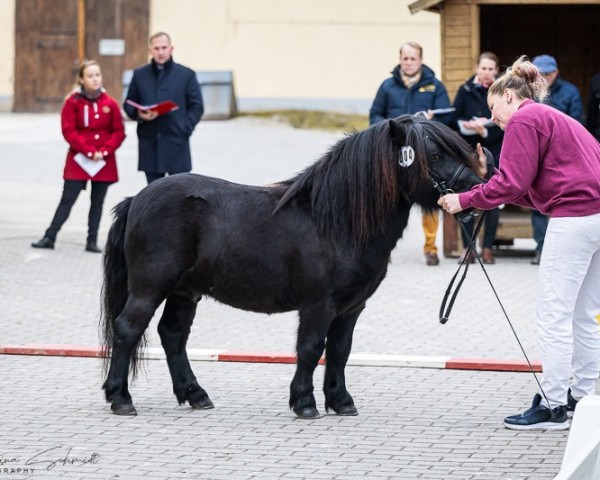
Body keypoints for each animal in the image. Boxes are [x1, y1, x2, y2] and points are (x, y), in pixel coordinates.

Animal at [98, 114, 482, 418]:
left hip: (183, 291)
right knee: (128, 329)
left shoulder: (351, 307)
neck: (335, 222)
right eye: (435, 154)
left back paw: (195, 395)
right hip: (150, 288)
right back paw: (121, 398)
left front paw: (341, 401)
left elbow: (339, 351)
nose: (474, 187)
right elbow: (311, 348)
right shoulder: (318, 304)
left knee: (173, 335)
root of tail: (136, 199)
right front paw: (305, 403)